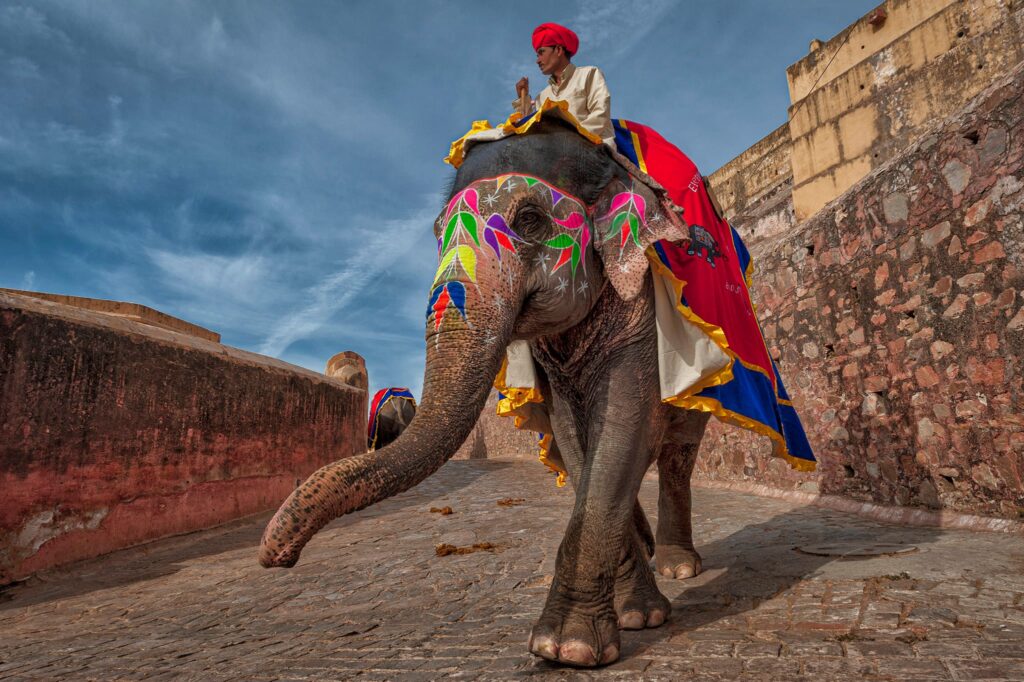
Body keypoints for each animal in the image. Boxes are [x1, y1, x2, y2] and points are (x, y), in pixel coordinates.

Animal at [260, 109, 811, 667]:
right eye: (437, 234)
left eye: (528, 220)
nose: (275, 554)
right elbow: (575, 438)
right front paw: (629, 614)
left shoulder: (640, 305)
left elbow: (625, 424)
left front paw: (570, 645)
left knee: (678, 450)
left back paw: (678, 565)